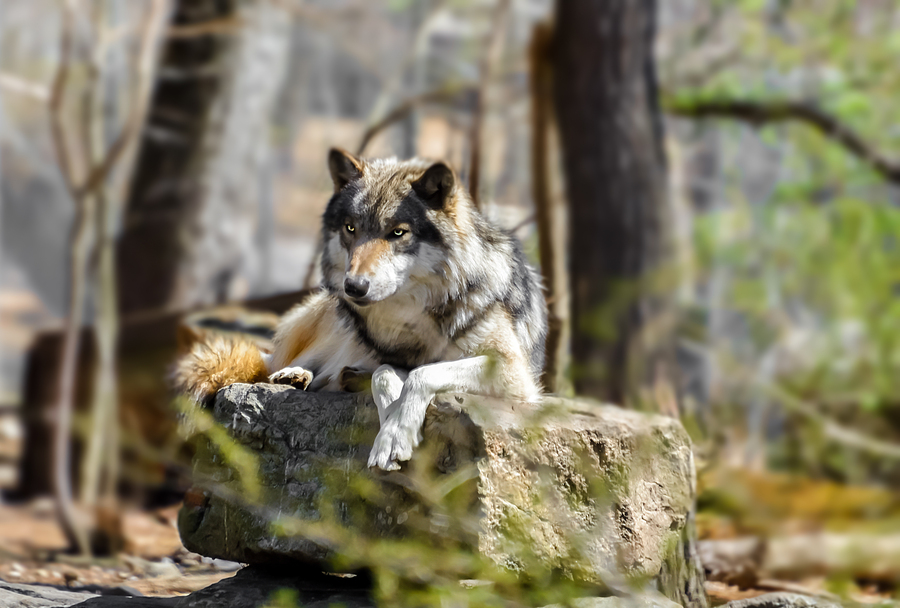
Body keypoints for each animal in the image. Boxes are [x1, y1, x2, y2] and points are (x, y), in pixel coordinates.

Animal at [174, 148, 548, 470]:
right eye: (351, 228)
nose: (353, 287)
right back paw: (295, 375)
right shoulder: (383, 355)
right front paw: (391, 427)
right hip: (334, 326)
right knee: (277, 363)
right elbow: (385, 374)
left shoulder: (514, 374)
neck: (413, 314)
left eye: (398, 232)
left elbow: (422, 373)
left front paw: (396, 428)